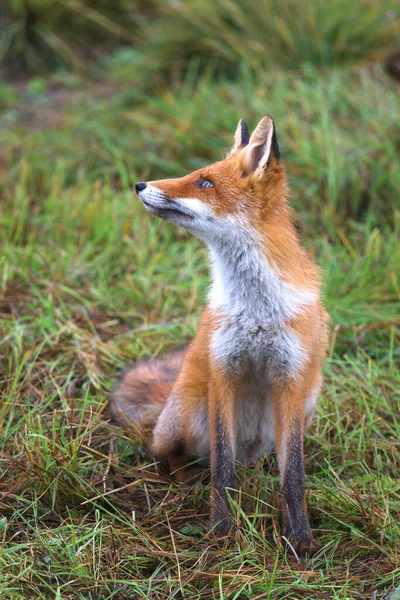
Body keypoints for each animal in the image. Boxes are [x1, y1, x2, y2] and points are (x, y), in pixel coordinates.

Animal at [110, 115, 328, 556]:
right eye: (196, 176)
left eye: (205, 182)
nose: (140, 185)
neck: (256, 309)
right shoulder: (223, 371)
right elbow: (222, 469)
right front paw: (222, 532)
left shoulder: (291, 380)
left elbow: (293, 478)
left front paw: (299, 540)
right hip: (190, 411)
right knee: (169, 456)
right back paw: (185, 482)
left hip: (303, 405)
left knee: (262, 463)